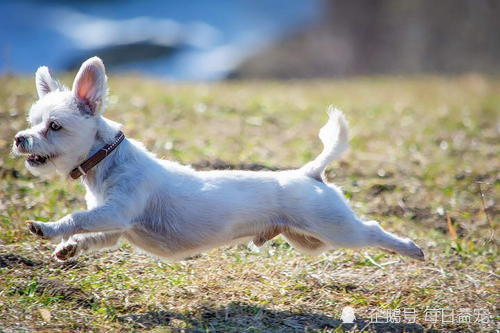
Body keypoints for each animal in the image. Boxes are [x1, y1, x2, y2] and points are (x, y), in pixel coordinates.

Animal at [13, 57, 424, 262]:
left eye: (54, 126)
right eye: (32, 121)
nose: (19, 138)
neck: (105, 162)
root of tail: (309, 174)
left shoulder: (117, 210)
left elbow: (76, 218)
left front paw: (48, 228)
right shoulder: (115, 226)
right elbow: (91, 235)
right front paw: (68, 247)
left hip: (336, 228)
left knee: (372, 230)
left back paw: (410, 249)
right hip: (309, 240)